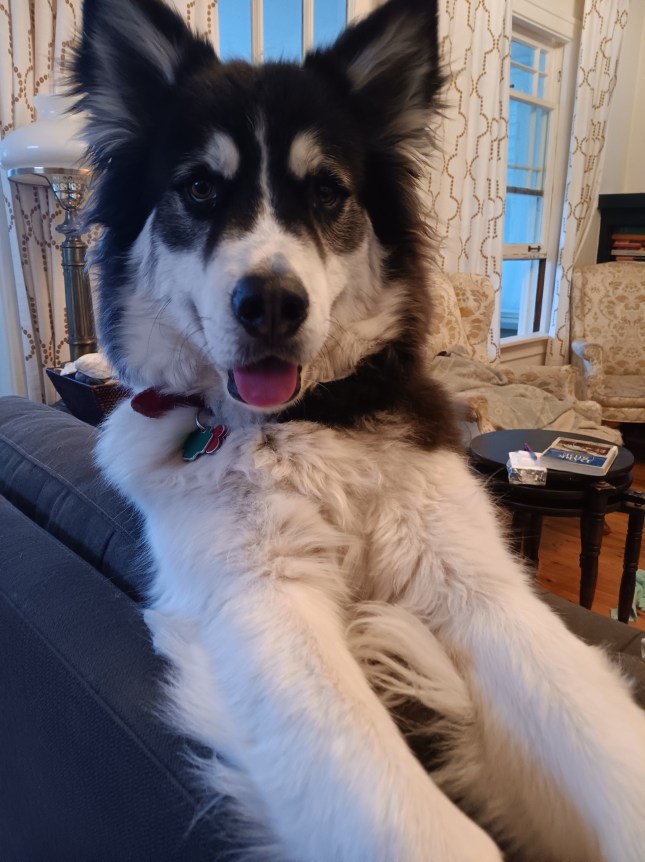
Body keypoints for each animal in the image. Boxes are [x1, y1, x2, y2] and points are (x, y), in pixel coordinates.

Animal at [72, 0, 645, 859]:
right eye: (199, 188)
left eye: (327, 192)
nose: (270, 304)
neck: (306, 423)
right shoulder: (263, 598)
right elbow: (428, 830)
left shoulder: (472, 582)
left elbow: (603, 748)